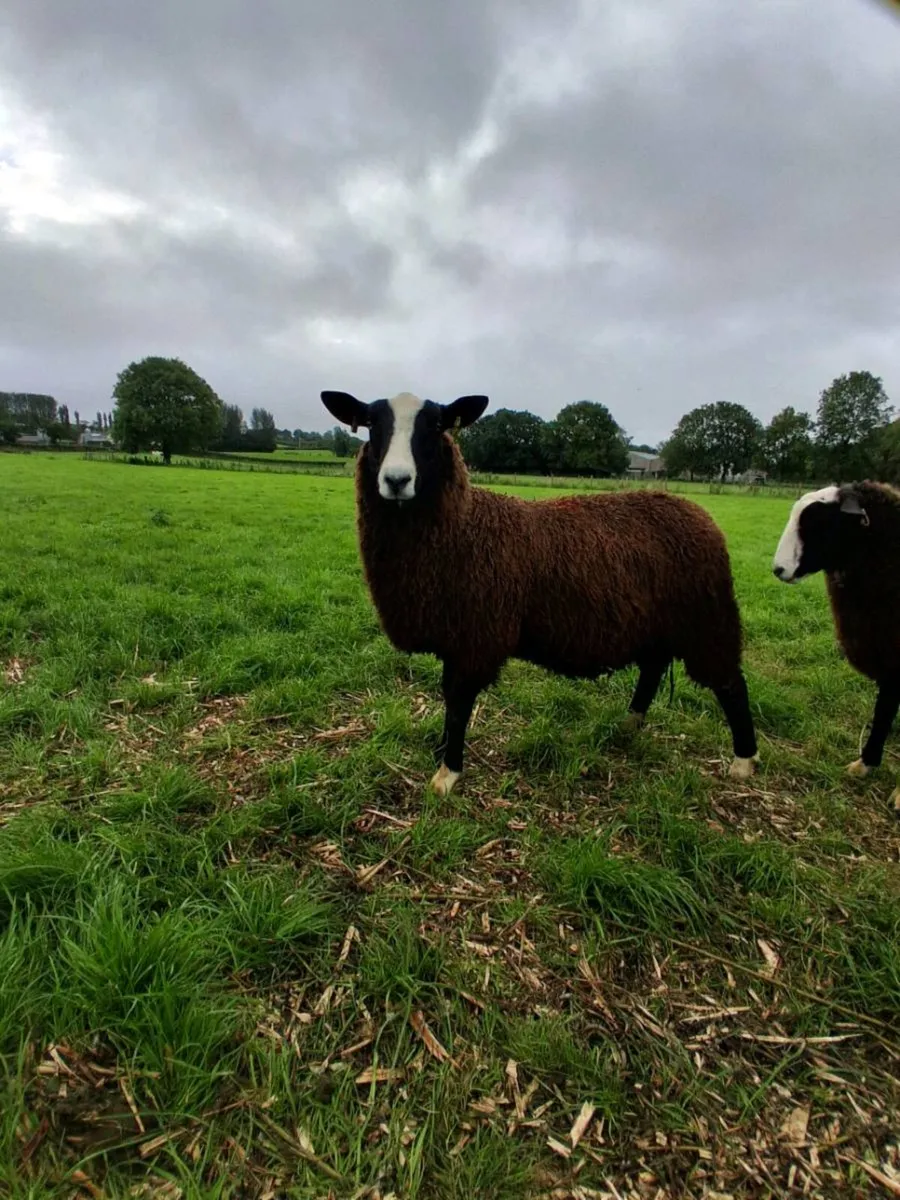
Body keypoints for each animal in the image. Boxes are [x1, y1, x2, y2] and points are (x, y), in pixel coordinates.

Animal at [321, 388, 759, 797]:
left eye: (436, 425)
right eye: (372, 425)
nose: (396, 481)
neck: (463, 526)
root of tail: (696, 512)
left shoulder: (477, 635)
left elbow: (459, 703)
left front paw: (448, 774)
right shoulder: (456, 634)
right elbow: (448, 699)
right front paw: (441, 752)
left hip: (706, 618)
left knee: (730, 684)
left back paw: (743, 761)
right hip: (657, 623)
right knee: (652, 670)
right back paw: (627, 726)